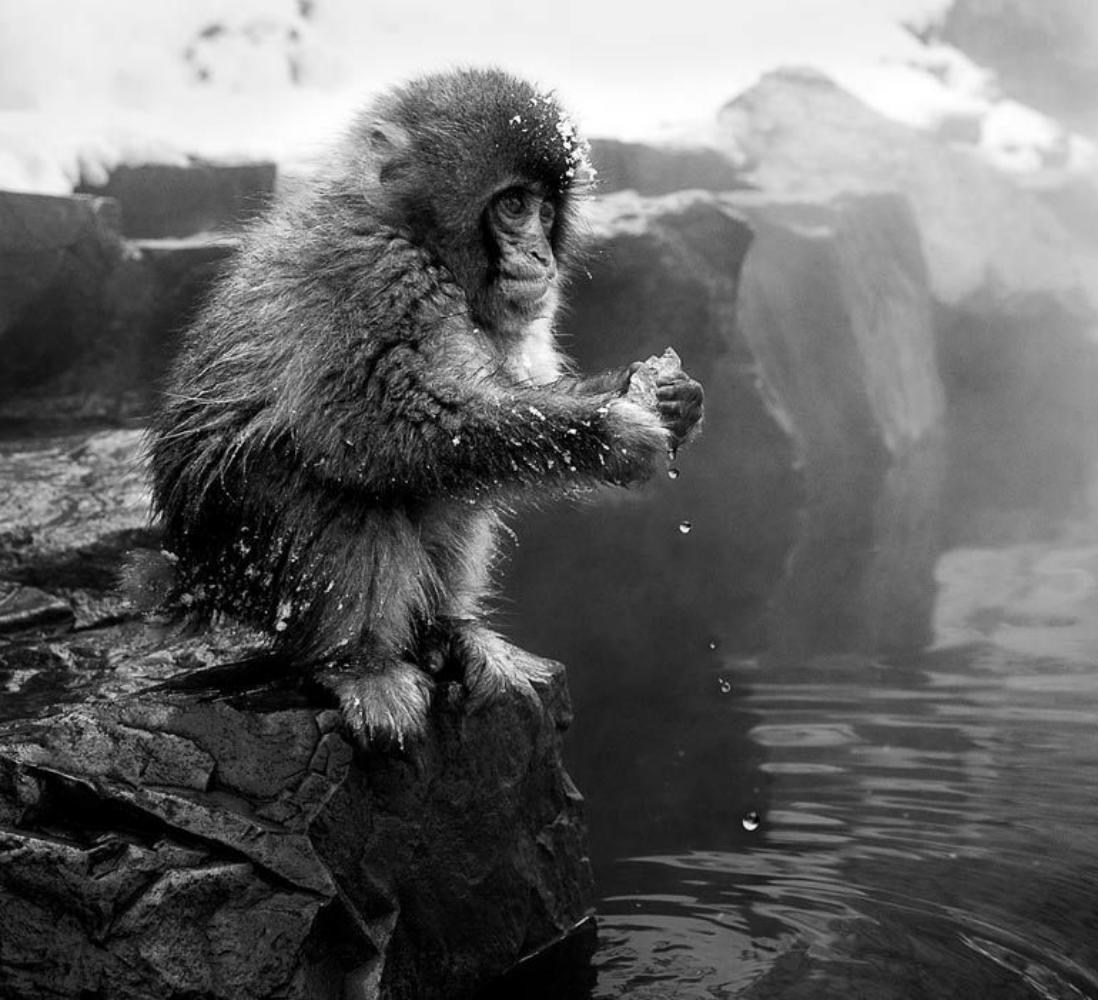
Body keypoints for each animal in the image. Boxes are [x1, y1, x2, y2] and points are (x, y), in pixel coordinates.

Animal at [146, 67, 704, 746]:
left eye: (547, 211)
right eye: (513, 205)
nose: (541, 255)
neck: (415, 235)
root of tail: (186, 579)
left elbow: (505, 389)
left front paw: (668, 396)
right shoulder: (375, 274)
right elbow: (376, 421)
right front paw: (613, 430)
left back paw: (447, 632)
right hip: (238, 546)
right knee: (341, 491)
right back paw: (362, 664)